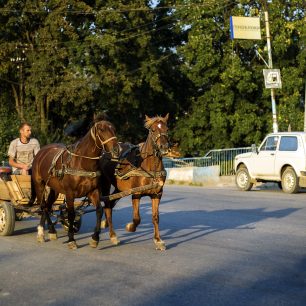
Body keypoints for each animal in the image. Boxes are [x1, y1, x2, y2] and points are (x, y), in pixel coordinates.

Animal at [31, 119, 119, 249]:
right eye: (102, 130)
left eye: (114, 129)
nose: (117, 149)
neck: (81, 163)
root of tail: (41, 152)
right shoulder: (70, 193)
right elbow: (71, 214)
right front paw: (71, 239)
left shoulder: (93, 191)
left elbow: (99, 210)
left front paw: (95, 238)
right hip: (39, 185)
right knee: (43, 206)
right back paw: (44, 232)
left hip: (54, 189)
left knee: (47, 206)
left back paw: (50, 231)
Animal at [101, 113, 171, 250]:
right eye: (153, 130)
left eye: (167, 129)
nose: (164, 147)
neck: (149, 168)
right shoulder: (136, 194)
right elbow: (137, 218)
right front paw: (130, 227)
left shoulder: (157, 194)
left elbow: (156, 217)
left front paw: (158, 240)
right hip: (105, 184)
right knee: (106, 203)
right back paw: (111, 233)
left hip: (119, 188)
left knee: (110, 204)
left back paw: (105, 223)